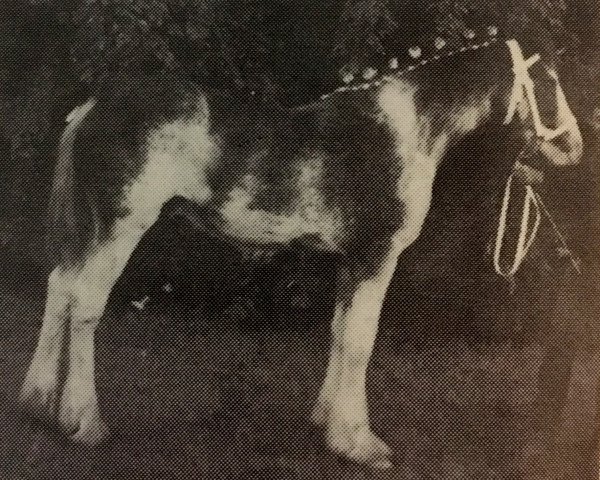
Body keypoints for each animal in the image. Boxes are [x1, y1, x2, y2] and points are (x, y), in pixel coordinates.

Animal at [18, 23, 580, 468]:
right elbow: (361, 343)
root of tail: (95, 107)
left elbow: (339, 334)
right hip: (120, 228)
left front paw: (328, 425)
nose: (573, 146)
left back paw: (39, 404)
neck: (408, 129)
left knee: (59, 288)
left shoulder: (350, 261)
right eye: (549, 82)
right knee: (85, 305)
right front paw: (361, 444)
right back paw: (83, 422)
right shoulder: (376, 256)